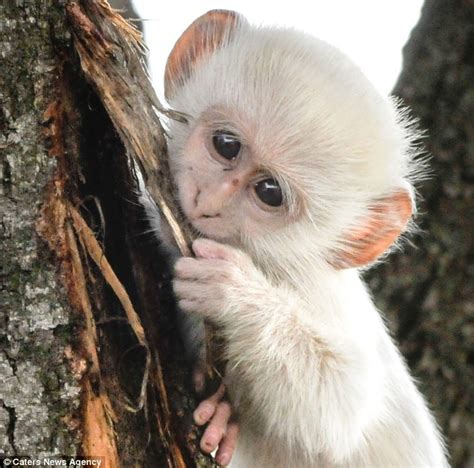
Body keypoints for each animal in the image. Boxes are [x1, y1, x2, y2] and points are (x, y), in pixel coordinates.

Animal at [153, 7, 448, 468]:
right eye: (226, 145)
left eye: (269, 192)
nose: (207, 202)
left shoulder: (312, 287)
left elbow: (341, 403)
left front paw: (233, 294)